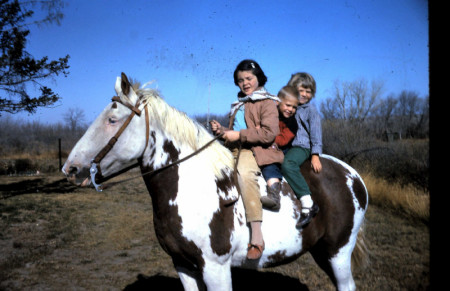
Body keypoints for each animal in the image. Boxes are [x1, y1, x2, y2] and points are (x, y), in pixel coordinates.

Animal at [63, 73, 368, 291]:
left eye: (112, 120)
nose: (71, 168)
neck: (192, 187)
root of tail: (353, 175)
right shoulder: (183, 266)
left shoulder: (215, 269)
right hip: (322, 251)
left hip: (339, 252)